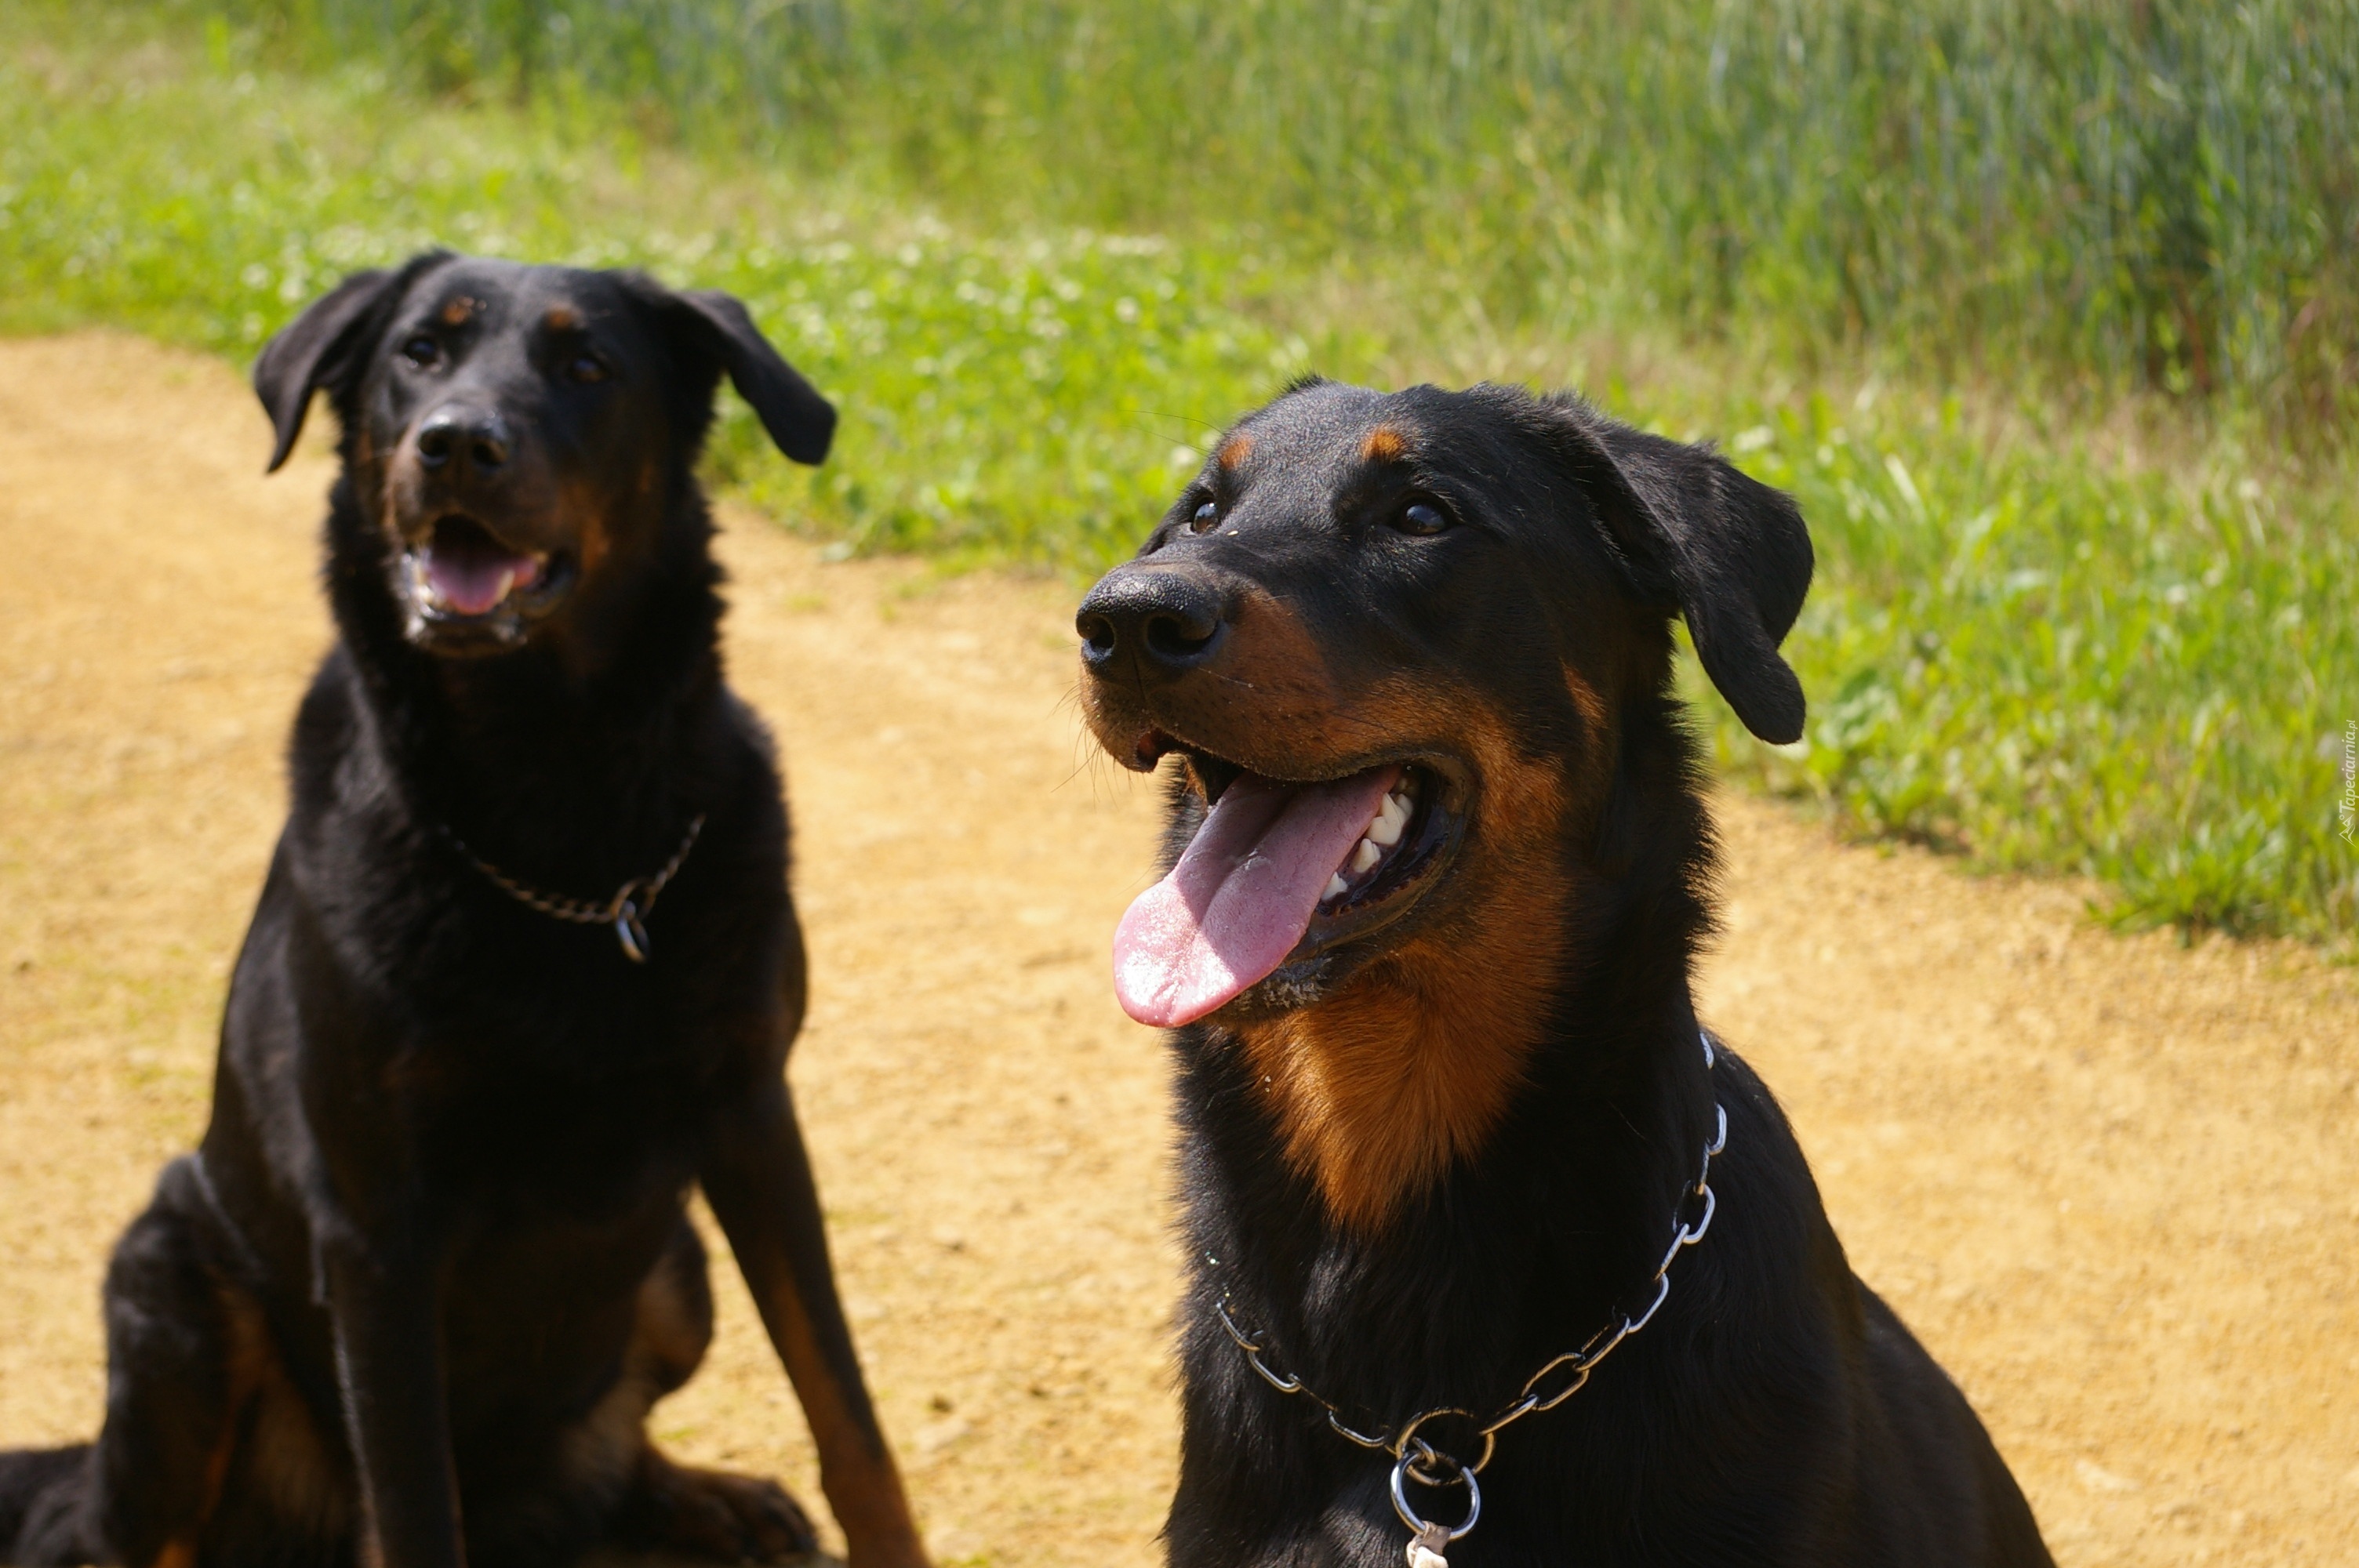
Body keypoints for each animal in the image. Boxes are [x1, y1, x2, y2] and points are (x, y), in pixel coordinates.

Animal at [2, 256, 939, 1565]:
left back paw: (709, 1498)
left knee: (610, 1459)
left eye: (588, 364)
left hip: (676, 1268)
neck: (564, 818)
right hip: (172, 1288)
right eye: (418, 354)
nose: (455, 445)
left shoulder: (751, 1112)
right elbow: (410, 1504)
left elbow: (850, 1421)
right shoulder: (377, 1223)